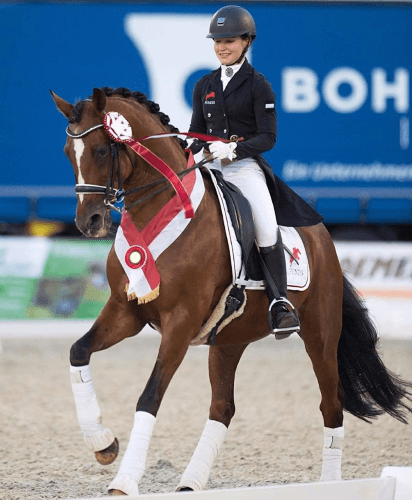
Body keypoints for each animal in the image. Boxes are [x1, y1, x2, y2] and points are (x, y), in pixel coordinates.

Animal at [51, 87, 412, 496]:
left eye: (100, 150)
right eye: (68, 152)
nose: (89, 222)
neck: (163, 209)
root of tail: (321, 234)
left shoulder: (180, 323)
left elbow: (150, 395)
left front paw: (124, 481)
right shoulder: (126, 311)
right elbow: (78, 352)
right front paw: (103, 445)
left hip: (320, 333)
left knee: (330, 405)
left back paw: (330, 486)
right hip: (229, 339)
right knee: (223, 406)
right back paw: (190, 484)